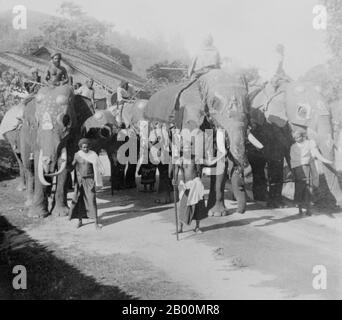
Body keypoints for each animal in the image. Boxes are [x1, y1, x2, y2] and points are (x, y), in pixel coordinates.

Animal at [250, 79, 342, 208]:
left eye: (331, 111)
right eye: (302, 111)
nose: (338, 203)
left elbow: (292, 158)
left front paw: (303, 202)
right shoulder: (270, 123)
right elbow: (276, 157)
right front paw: (278, 205)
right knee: (256, 163)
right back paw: (262, 199)